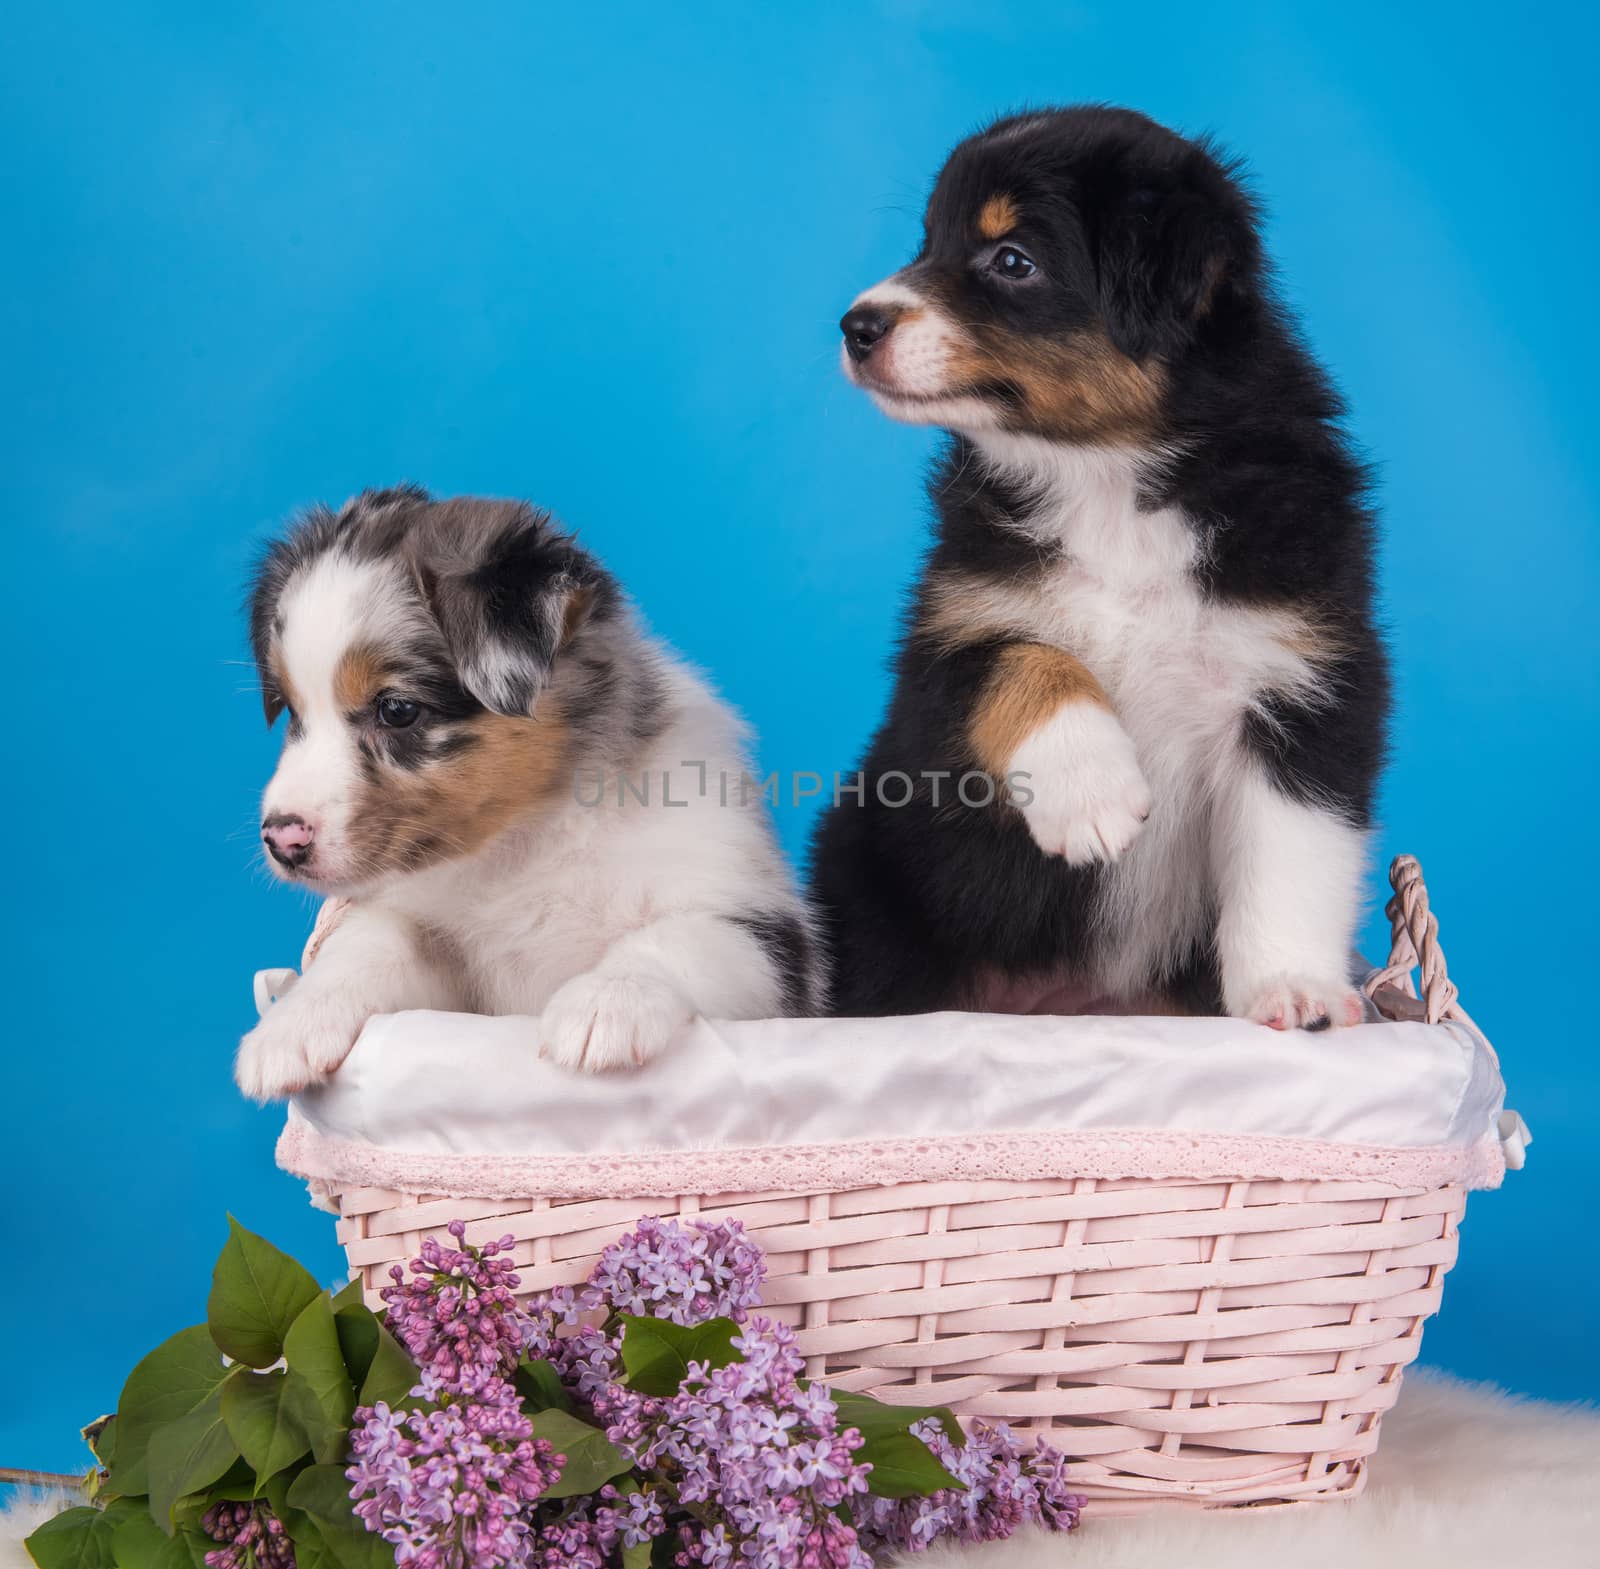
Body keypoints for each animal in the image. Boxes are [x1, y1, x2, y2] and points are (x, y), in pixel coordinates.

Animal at [232, 483, 819, 1093]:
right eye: (292, 710)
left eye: (396, 710)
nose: (282, 840)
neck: (528, 838)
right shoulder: (445, 957)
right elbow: (371, 941)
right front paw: (292, 1021)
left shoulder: (757, 933)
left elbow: (678, 937)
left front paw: (605, 1002)